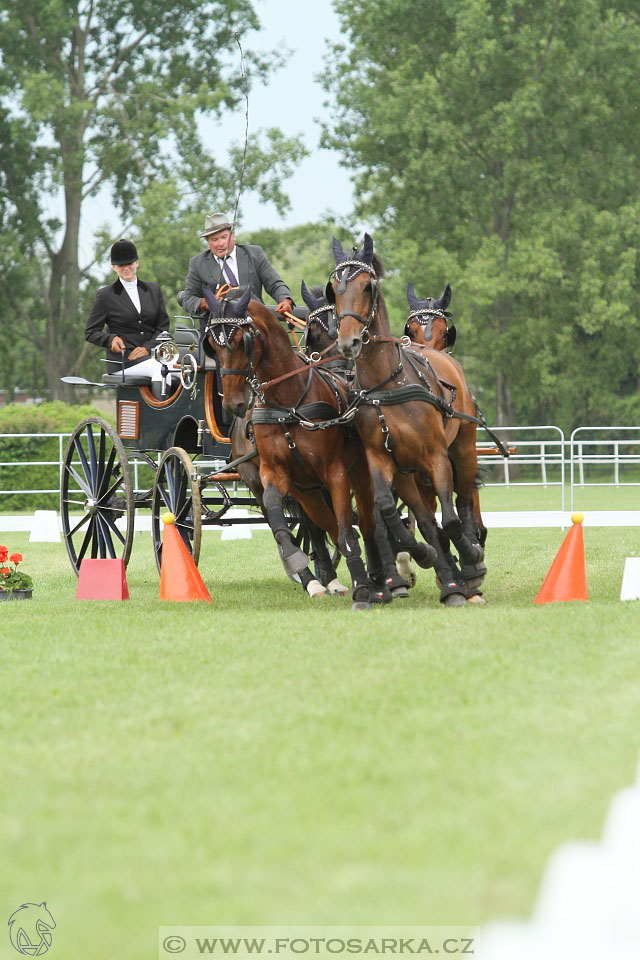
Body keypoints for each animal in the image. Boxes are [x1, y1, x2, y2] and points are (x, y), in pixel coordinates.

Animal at [205, 284, 420, 608]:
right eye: (212, 346)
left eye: (243, 341)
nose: (234, 404)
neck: (288, 403)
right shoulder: (273, 475)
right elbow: (283, 528)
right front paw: (300, 565)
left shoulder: (335, 473)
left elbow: (347, 530)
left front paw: (372, 580)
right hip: (283, 484)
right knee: (307, 526)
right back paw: (320, 579)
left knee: (345, 522)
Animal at [328, 235, 488, 604]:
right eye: (334, 289)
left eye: (368, 286)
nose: (348, 342)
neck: (387, 385)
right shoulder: (381, 459)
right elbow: (390, 511)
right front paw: (423, 557)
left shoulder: (437, 457)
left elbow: (451, 519)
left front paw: (468, 558)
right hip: (407, 473)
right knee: (425, 518)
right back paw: (447, 575)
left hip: (463, 446)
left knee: (463, 502)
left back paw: (471, 565)